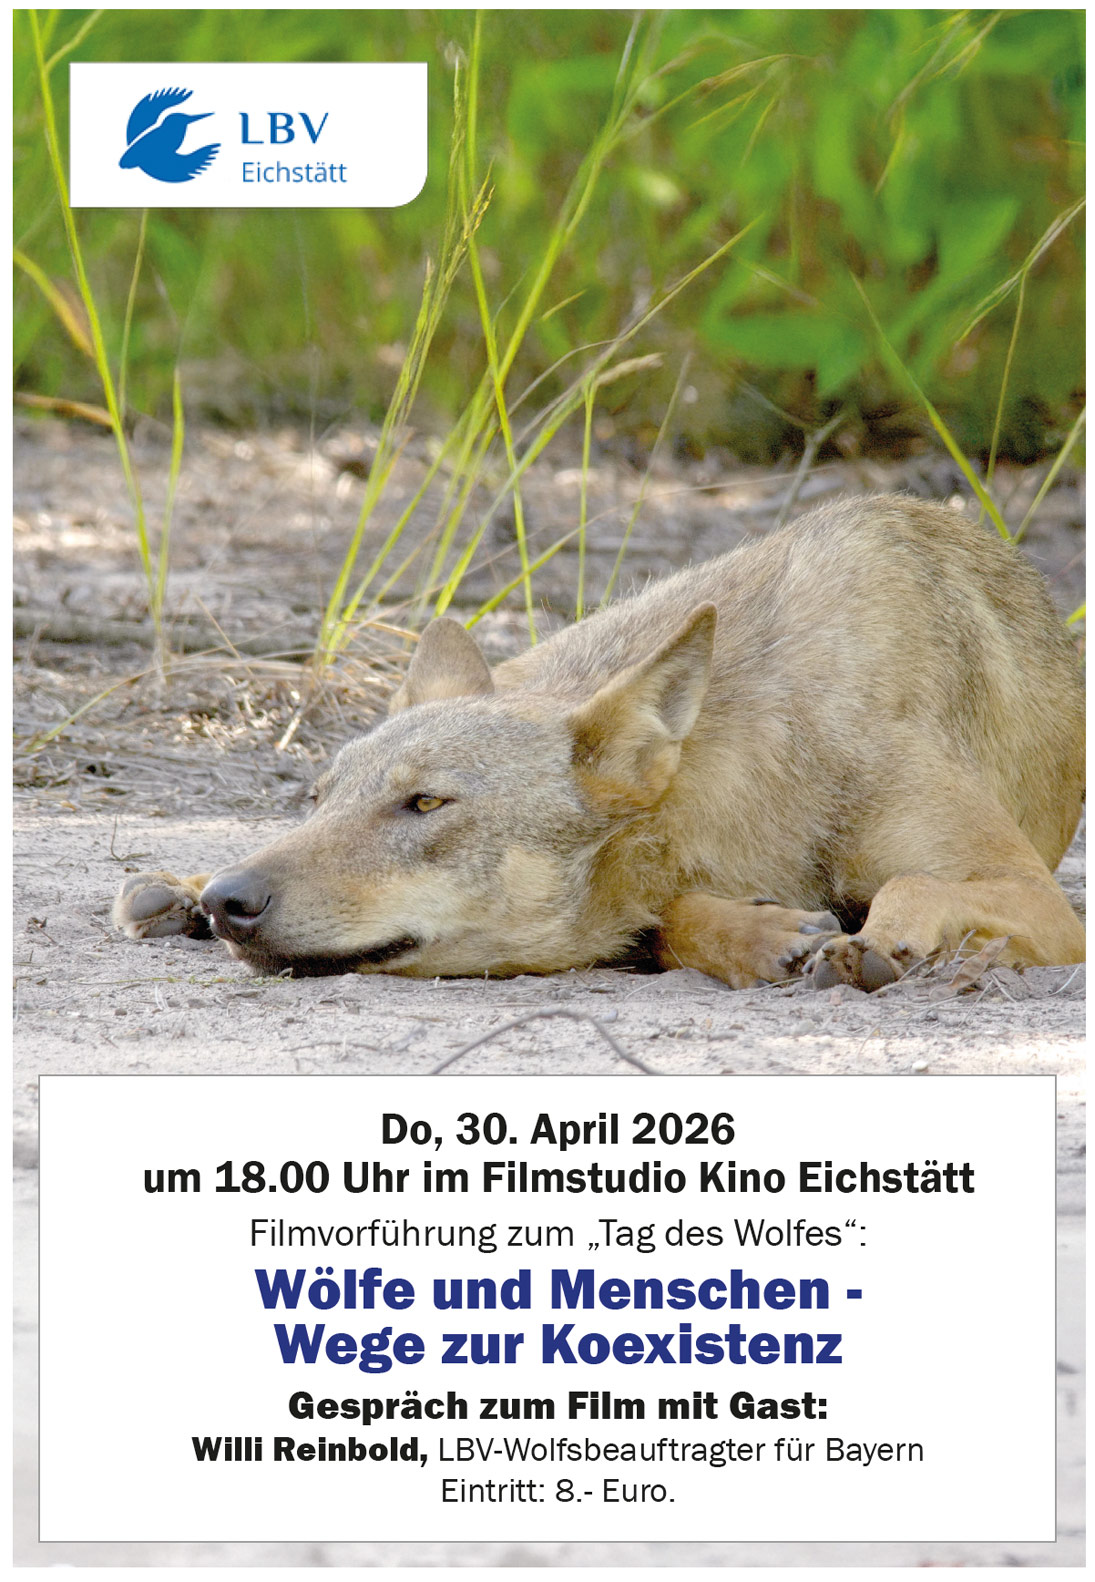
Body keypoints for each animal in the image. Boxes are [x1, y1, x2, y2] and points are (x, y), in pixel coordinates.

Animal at [113, 495, 1085, 991]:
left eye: (424, 803)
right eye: (318, 800)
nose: (233, 902)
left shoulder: (1043, 904)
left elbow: (912, 884)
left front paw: (880, 938)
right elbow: (669, 920)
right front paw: (762, 935)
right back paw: (175, 890)